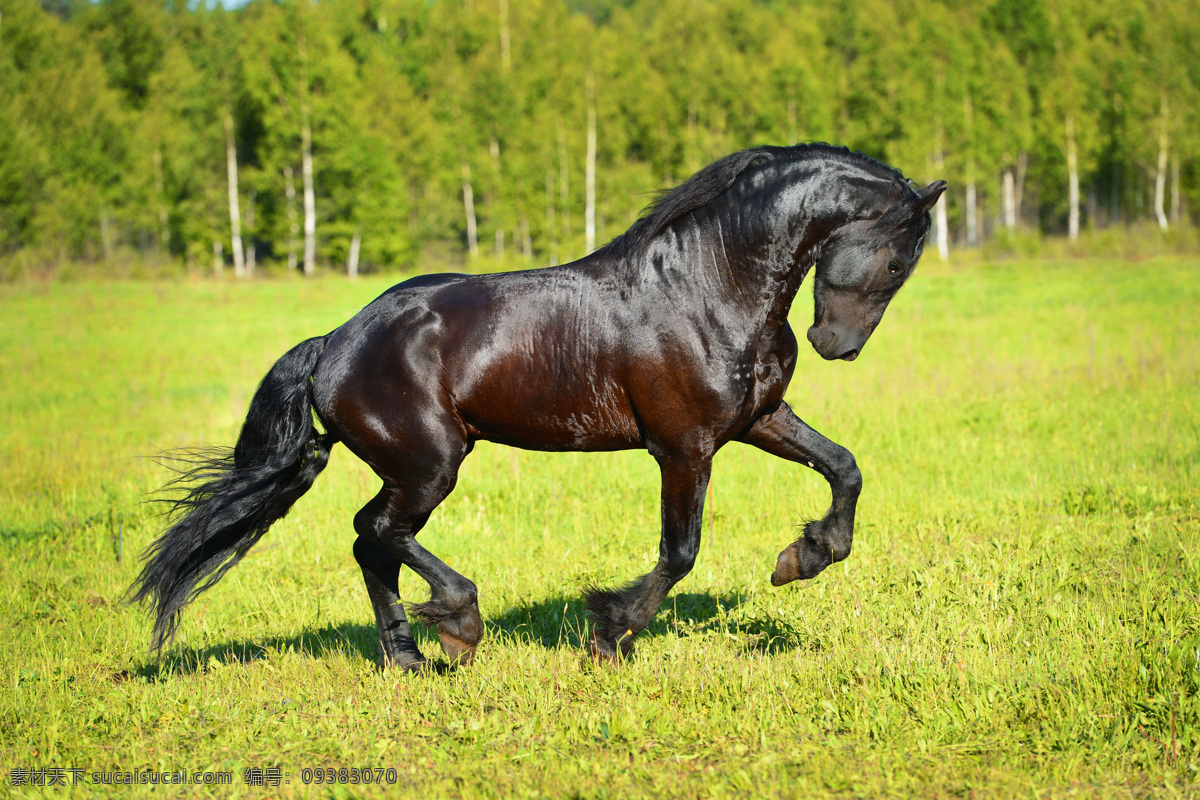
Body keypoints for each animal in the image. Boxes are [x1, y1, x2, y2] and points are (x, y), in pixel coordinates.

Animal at [130, 143, 945, 671]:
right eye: (897, 258)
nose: (835, 344)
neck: (708, 287)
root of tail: (334, 342)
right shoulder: (683, 446)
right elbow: (680, 551)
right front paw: (609, 634)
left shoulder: (756, 421)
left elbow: (845, 469)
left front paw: (801, 558)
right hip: (430, 465)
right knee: (377, 533)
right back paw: (458, 623)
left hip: (418, 468)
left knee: (374, 544)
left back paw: (408, 658)